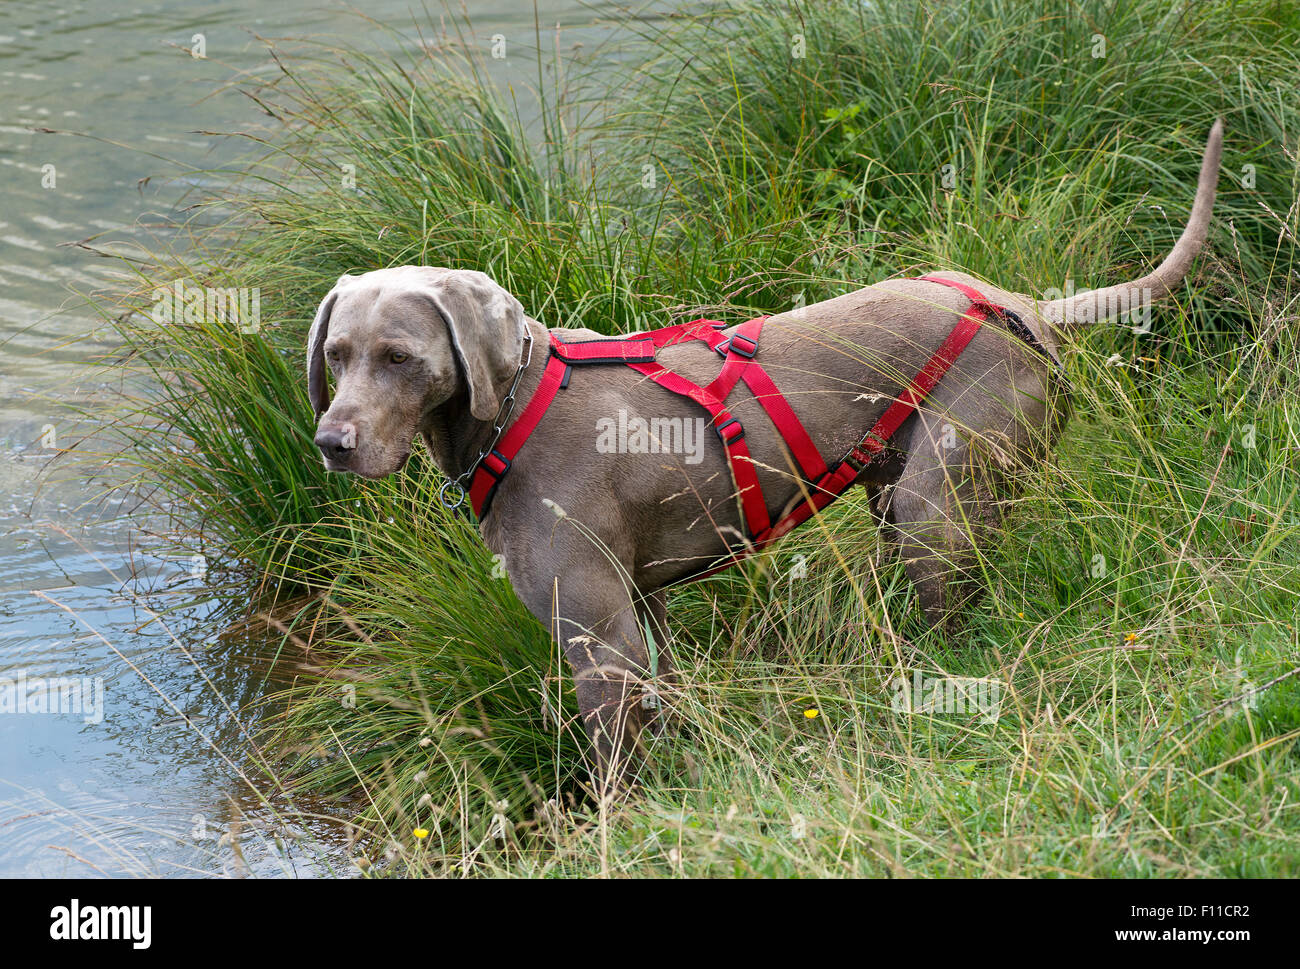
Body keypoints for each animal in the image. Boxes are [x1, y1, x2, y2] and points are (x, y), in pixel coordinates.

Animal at [309, 122, 1222, 785]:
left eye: (399, 356)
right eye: (336, 355)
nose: (330, 443)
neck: (514, 410)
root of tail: (1027, 304)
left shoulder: (598, 639)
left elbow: (615, 769)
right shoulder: (642, 609)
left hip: (936, 498)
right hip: (903, 491)